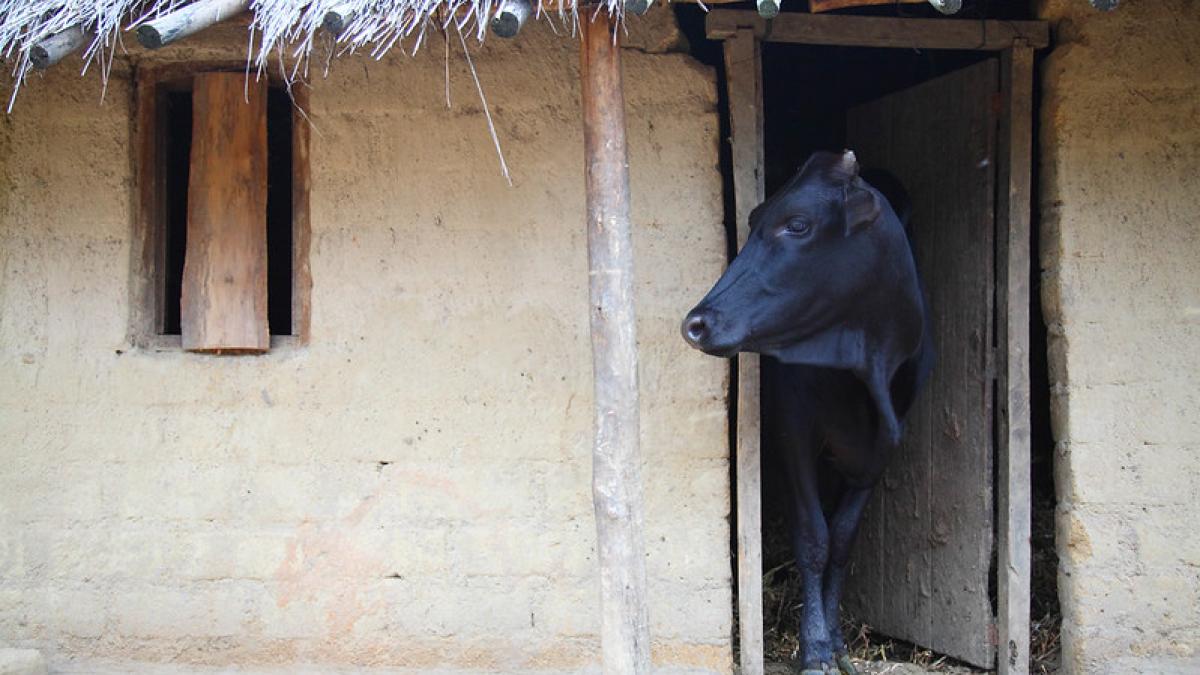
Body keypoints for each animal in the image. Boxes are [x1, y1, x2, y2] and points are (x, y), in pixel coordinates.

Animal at [681, 150, 934, 675]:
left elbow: (842, 538)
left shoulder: (884, 442)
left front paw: (835, 641)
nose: (695, 324)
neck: (867, 367)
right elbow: (814, 537)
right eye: (754, 219)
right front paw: (814, 645)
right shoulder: (793, 430)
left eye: (797, 224)